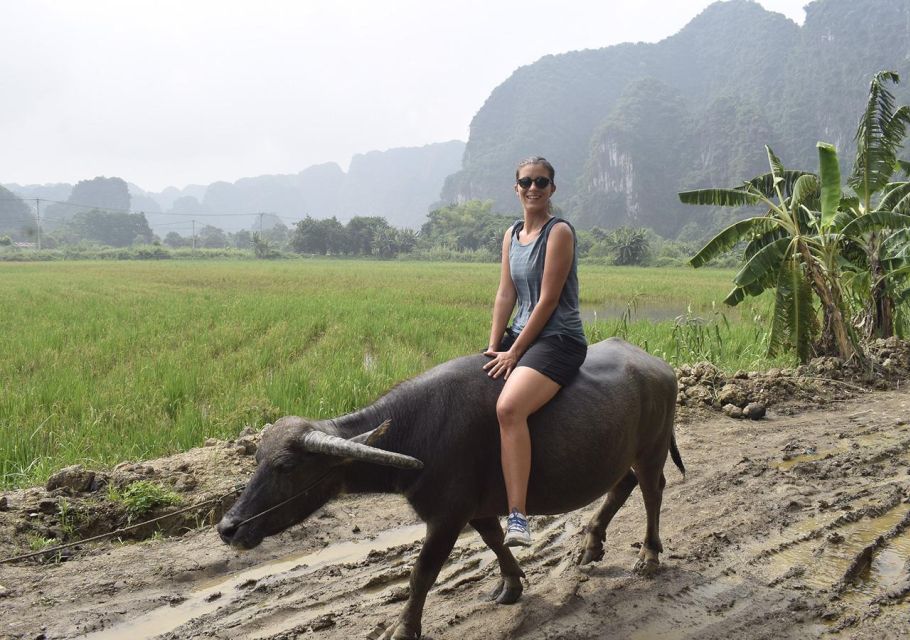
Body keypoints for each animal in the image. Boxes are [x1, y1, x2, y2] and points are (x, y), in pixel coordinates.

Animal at [219, 338, 684, 636]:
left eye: (285, 465)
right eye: (257, 460)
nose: (228, 527)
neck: (418, 431)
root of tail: (660, 366)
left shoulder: (445, 517)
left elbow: (422, 574)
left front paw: (403, 628)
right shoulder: (475, 508)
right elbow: (495, 540)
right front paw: (512, 585)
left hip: (653, 448)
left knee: (653, 491)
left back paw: (648, 557)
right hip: (623, 453)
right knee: (623, 485)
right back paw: (591, 545)